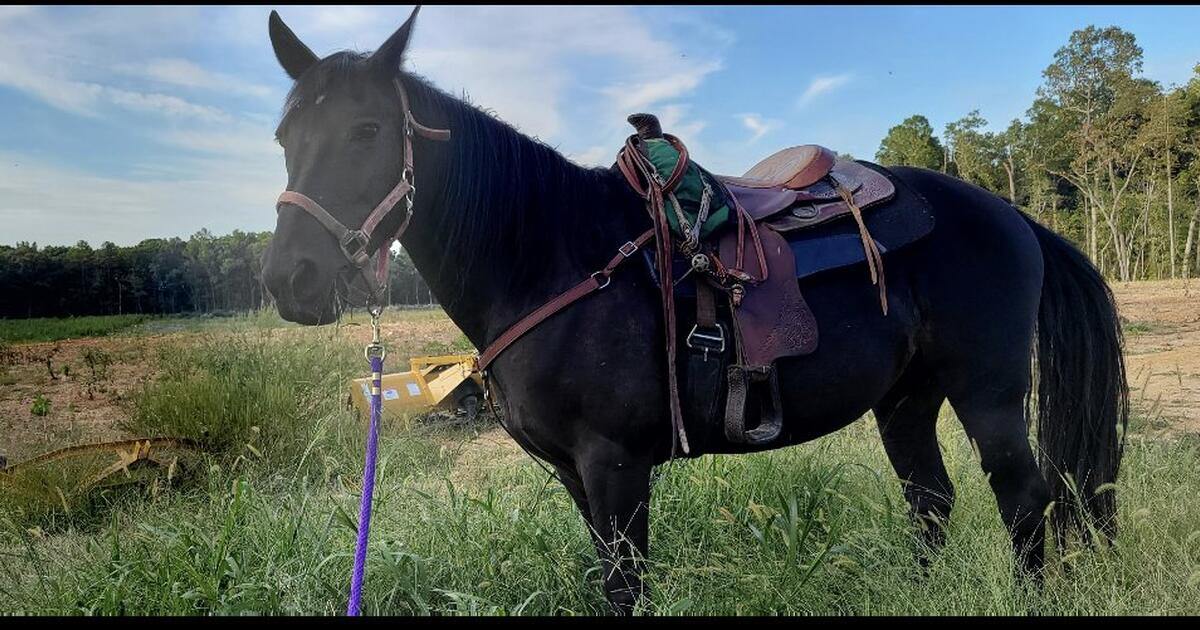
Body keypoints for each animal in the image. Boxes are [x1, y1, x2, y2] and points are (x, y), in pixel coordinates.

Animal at [260, 8, 1129, 615]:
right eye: (283, 137)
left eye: (368, 129)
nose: (290, 279)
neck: (552, 260)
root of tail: (1011, 216)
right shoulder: (576, 476)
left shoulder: (615, 465)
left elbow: (626, 586)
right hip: (905, 400)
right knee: (932, 502)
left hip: (988, 391)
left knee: (1023, 499)